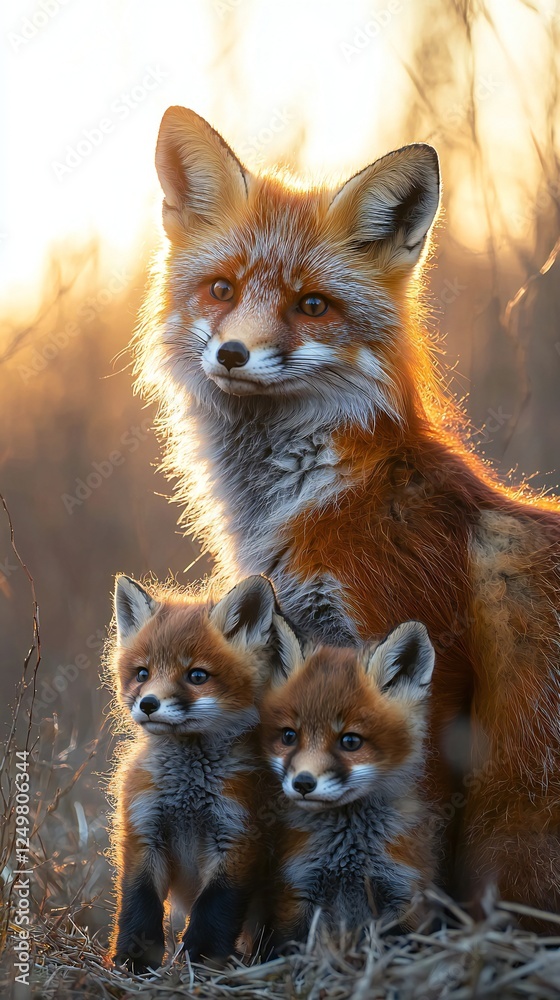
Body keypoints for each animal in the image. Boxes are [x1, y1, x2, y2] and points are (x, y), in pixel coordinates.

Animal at [108, 572, 286, 972]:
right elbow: (138, 906)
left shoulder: (237, 836)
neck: (188, 794)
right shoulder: (144, 829)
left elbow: (214, 909)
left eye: (197, 676)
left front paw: (200, 961)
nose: (148, 704)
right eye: (142, 673)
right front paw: (133, 963)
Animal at [260, 619, 437, 945]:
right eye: (289, 736)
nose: (303, 783)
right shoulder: (297, 889)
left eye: (350, 741)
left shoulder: (405, 893)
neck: (349, 848)